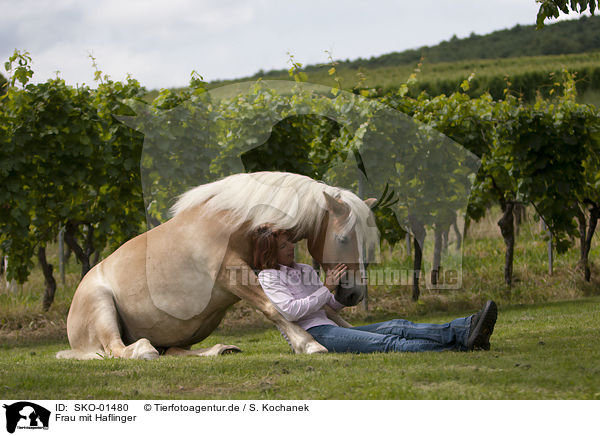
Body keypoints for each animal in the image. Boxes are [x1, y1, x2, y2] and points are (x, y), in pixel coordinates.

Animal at [55, 172, 376, 360]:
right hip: (102, 306)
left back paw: (221, 349)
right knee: (117, 350)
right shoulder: (231, 275)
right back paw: (145, 350)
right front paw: (308, 344)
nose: (354, 294)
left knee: (173, 351)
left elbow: (323, 313)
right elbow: (272, 307)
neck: (230, 223)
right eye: (342, 238)